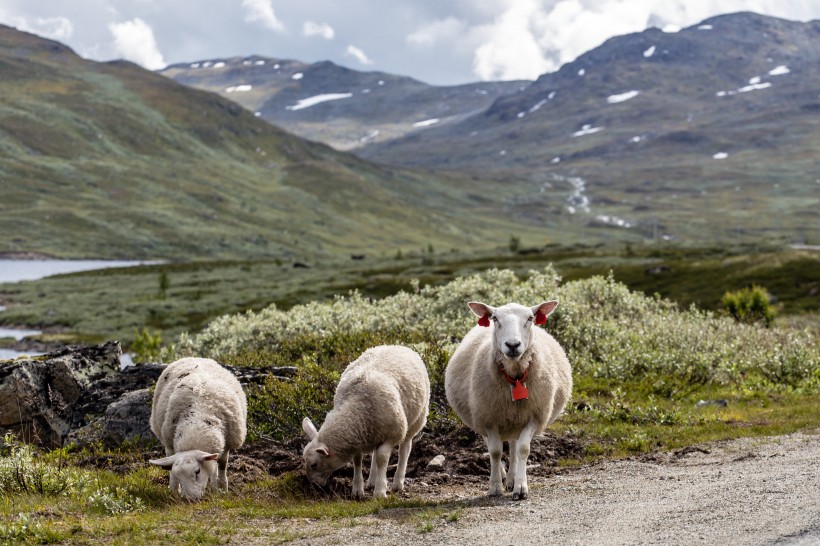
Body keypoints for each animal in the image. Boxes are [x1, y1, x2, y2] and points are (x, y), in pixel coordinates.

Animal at [148, 354, 247, 500]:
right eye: (179, 476)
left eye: (197, 471)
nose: (190, 499)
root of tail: (193, 357)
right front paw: (174, 490)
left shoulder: (227, 442)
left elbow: (221, 465)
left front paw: (221, 489)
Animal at [302, 344, 430, 498]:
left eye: (314, 464)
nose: (313, 485)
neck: (357, 404)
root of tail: (398, 345)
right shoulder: (358, 438)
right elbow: (358, 461)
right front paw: (358, 489)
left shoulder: (392, 434)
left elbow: (382, 458)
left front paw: (380, 491)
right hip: (376, 432)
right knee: (375, 452)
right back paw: (372, 481)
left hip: (415, 420)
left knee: (404, 449)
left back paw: (398, 482)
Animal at [446, 300, 572, 500]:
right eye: (495, 319)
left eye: (530, 318)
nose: (513, 345)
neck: (515, 377)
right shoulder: (488, 418)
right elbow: (495, 451)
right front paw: (495, 486)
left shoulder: (534, 417)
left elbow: (523, 449)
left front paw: (520, 487)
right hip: (480, 415)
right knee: (492, 445)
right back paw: (503, 474)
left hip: (516, 420)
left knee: (513, 446)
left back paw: (512, 478)